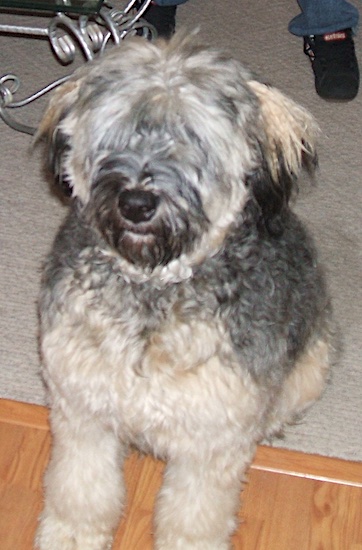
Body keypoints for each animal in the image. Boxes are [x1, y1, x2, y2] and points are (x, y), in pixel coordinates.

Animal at [35, 33, 332, 550]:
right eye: (116, 132)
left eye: (191, 138)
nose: (136, 203)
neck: (152, 295)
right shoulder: (81, 412)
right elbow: (80, 488)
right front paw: (71, 534)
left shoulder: (212, 441)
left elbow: (193, 515)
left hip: (312, 364)